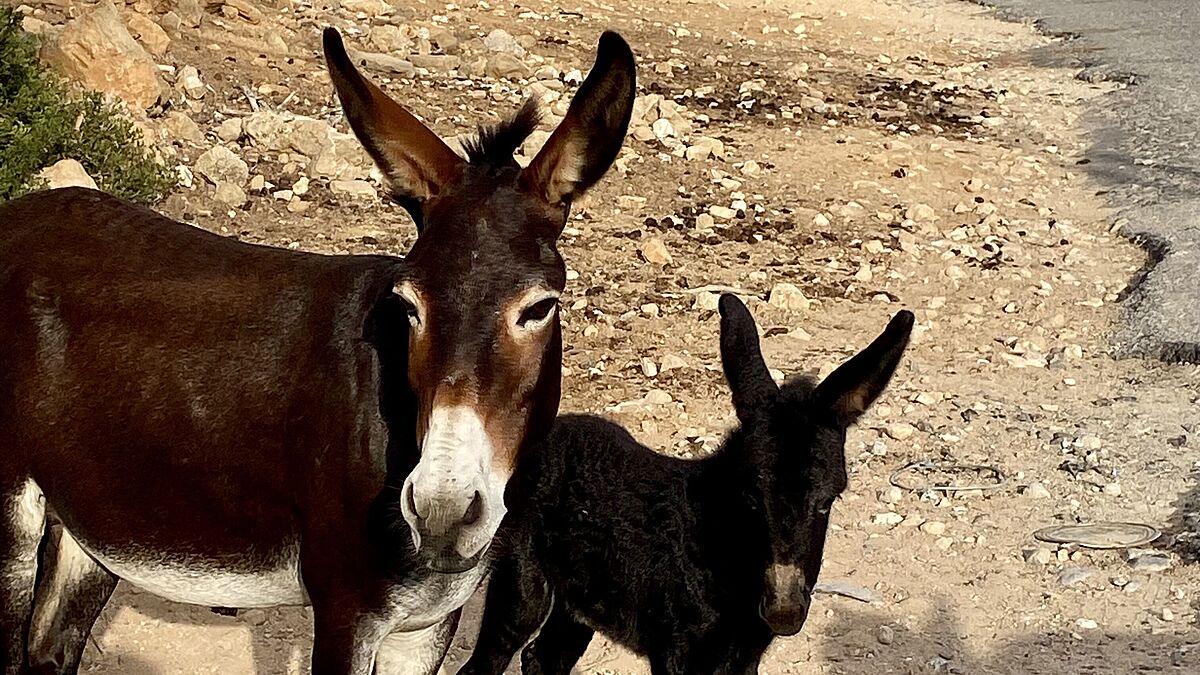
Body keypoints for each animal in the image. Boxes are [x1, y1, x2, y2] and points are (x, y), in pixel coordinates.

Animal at [456, 294, 907, 672]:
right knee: (490, 659)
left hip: (581, 601)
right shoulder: (675, 651)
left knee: (544, 657)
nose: (784, 611)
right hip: (522, 582)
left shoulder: (744, 657)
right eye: (751, 498)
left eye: (827, 501)